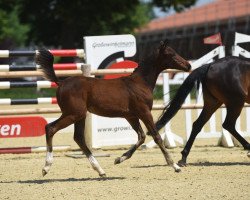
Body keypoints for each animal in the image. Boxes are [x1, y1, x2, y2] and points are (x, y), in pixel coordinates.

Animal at [35, 41, 191, 177]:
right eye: (171, 54)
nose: (188, 65)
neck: (140, 83)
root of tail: (61, 83)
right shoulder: (145, 113)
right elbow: (156, 136)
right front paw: (175, 166)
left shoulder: (131, 116)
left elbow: (141, 136)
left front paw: (119, 159)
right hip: (73, 114)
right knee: (50, 128)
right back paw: (46, 167)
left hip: (80, 115)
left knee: (78, 138)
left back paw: (100, 170)